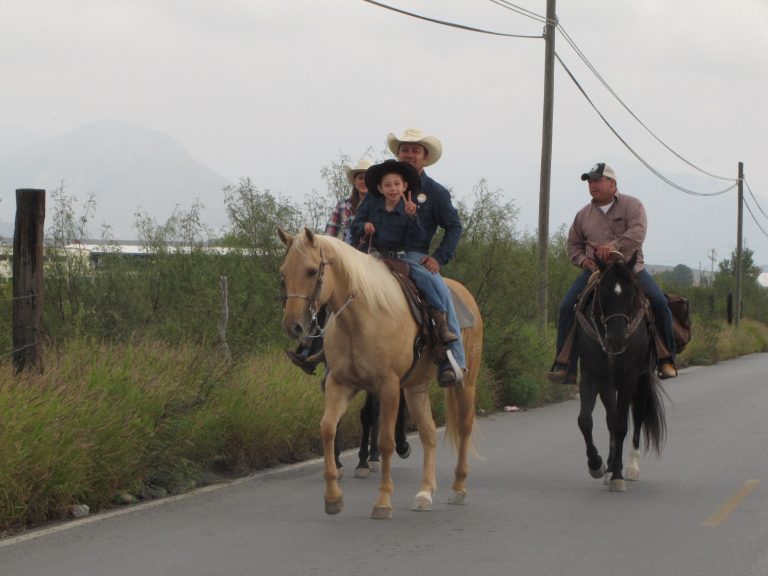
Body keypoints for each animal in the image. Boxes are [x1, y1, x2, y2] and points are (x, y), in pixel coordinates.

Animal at [280, 228, 484, 516]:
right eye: (283, 273)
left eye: (311, 271)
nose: (293, 326)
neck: (361, 317)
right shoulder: (339, 383)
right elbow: (328, 428)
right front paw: (333, 497)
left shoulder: (387, 387)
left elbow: (385, 439)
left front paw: (383, 501)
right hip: (415, 387)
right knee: (428, 433)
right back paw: (424, 493)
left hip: (466, 382)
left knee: (464, 426)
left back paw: (458, 488)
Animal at [576, 252, 664, 490]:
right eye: (602, 293)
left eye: (632, 293)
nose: (616, 340)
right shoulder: (591, 377)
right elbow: (586, 420)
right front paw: (597, 465)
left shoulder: (629, 379)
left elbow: (622, 425)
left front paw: (617, 475)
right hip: (608, 386)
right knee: (610, 420)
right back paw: (608, 467)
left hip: (641, 381)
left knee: (638, 416)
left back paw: (631, 467)